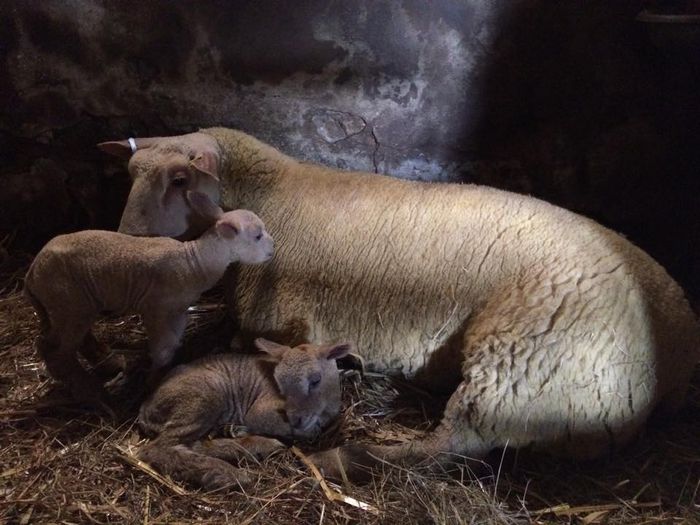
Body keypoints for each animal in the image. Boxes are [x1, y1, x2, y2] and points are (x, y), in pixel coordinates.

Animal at [22, 192, 274, 406]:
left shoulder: (178, 310)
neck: (194, 262)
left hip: (72, 305)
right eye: (257, 236)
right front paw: (154, 381)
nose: (273, 249)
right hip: (68, 301)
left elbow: (172, 344)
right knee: (55, 350)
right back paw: (92, 394)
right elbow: (162, 347)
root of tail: (31, 273)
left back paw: (108, 363)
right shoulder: (158, 308)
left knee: (75, 339)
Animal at [137, 338, 350, 490]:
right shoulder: (259, 410)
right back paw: (230, 474)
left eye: (315, 380)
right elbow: (271, 422)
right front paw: (304, 430)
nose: (296, 419)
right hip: (203, 396)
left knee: (192, 444)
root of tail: (145, 407)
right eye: (279, 383)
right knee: (158, 449)